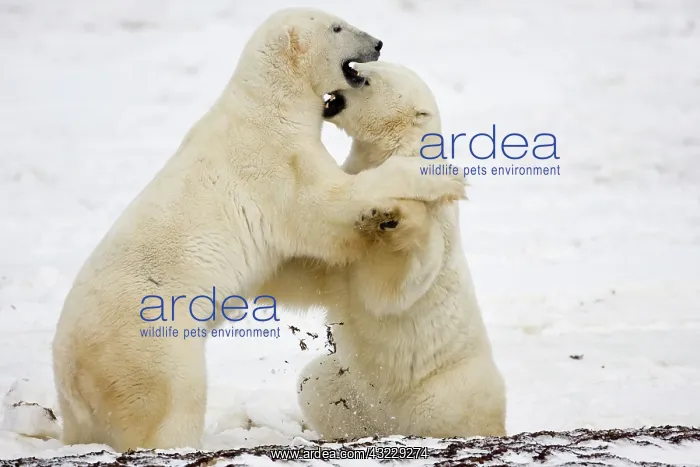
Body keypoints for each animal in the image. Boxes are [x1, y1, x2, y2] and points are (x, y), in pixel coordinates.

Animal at [51, 9, 466, 452]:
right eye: (337, 27)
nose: (378, 43)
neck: (268, 106)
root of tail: (70, 381)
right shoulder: (274, 160)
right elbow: (324, 206)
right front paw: (443, 179)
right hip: (148, 345)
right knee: (175, 399)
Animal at [258, 61, 507, 440]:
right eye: (362, 67)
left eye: (366, 77)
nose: (351, 65)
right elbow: (313, 273)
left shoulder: (436, 220)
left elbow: (388, 288)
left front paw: (388, 215)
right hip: (349, 387)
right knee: (313, 384)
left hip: (449, 387)